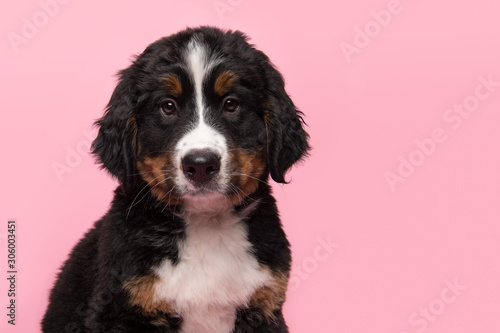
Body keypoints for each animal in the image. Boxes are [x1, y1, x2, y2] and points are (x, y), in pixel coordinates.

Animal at [43, 26, 308, 332]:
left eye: (231, 104)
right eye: (167, 106)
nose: (201, 165)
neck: (207, 223)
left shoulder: (263, 307)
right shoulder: (120, 307)